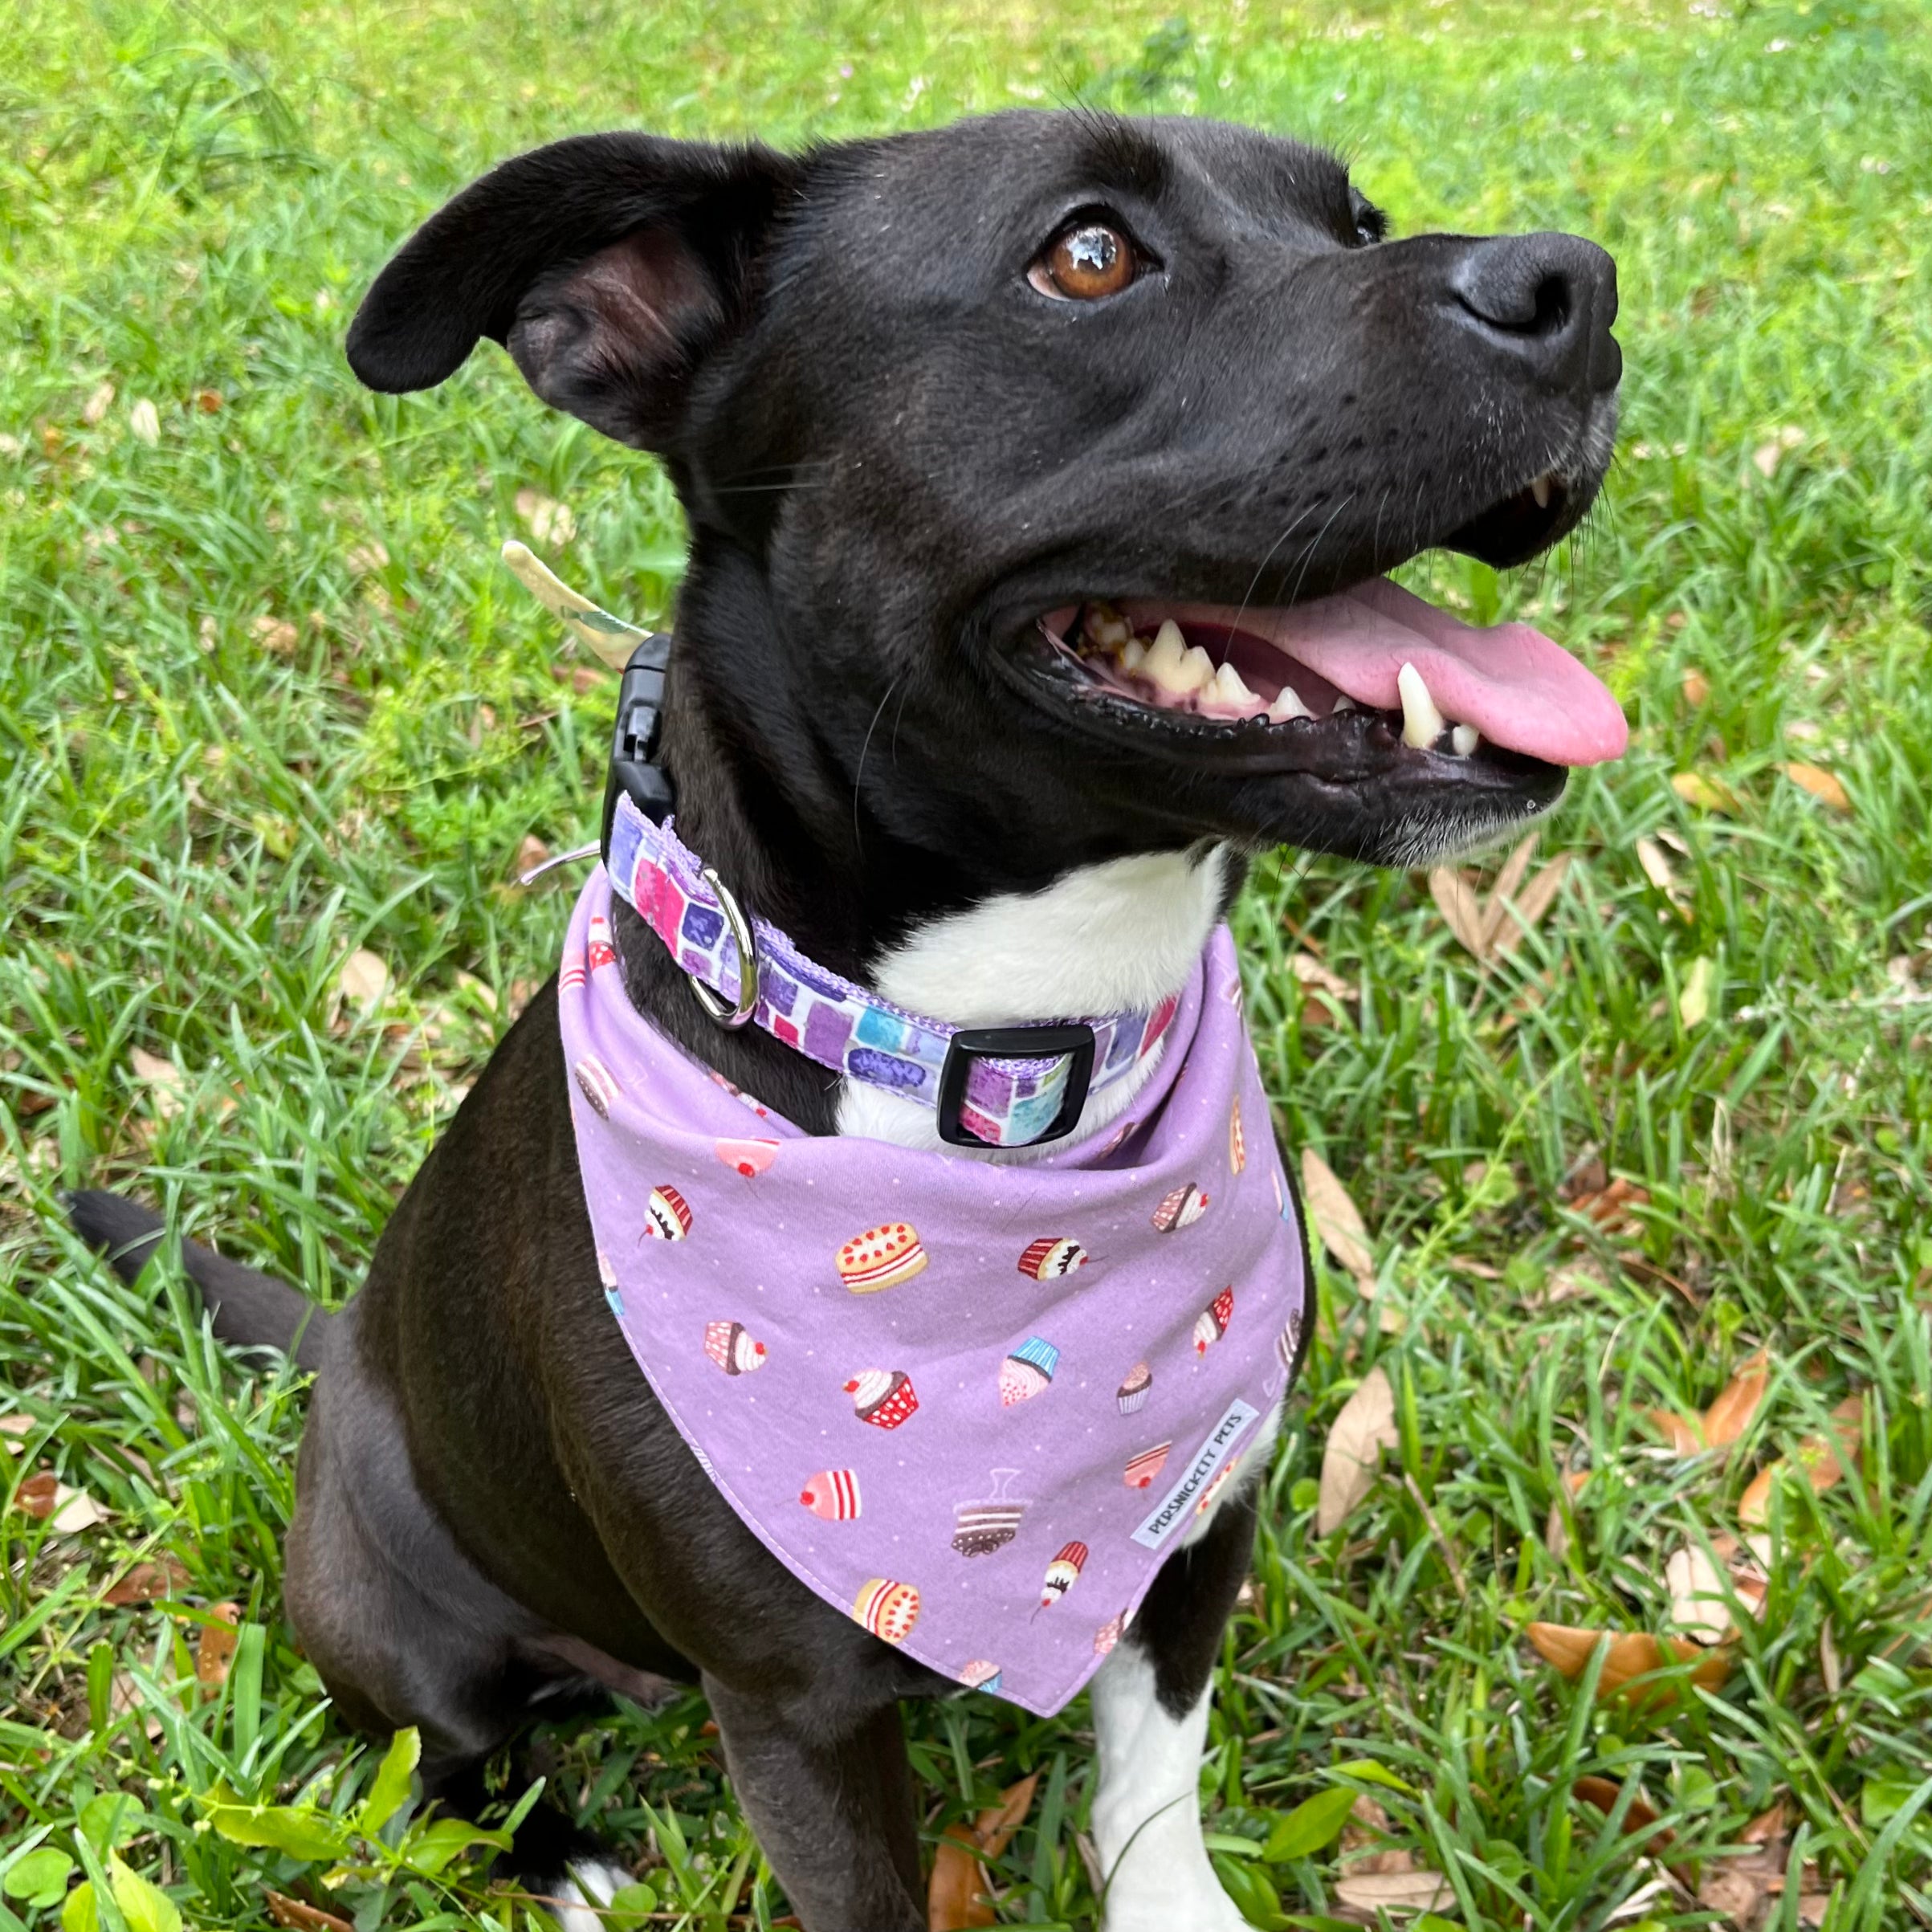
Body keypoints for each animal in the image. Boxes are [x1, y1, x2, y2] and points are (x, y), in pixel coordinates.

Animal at [67, 112, 1615, 1924]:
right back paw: (561, 1854)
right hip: (384, 1617)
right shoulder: (795, 1708)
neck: (995, 1072)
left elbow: (1152, 1782)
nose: (1576, 284)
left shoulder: (1196, 1520)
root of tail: (340, 1369)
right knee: (445, 1761)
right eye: (1088, 255)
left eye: (1353, 220)